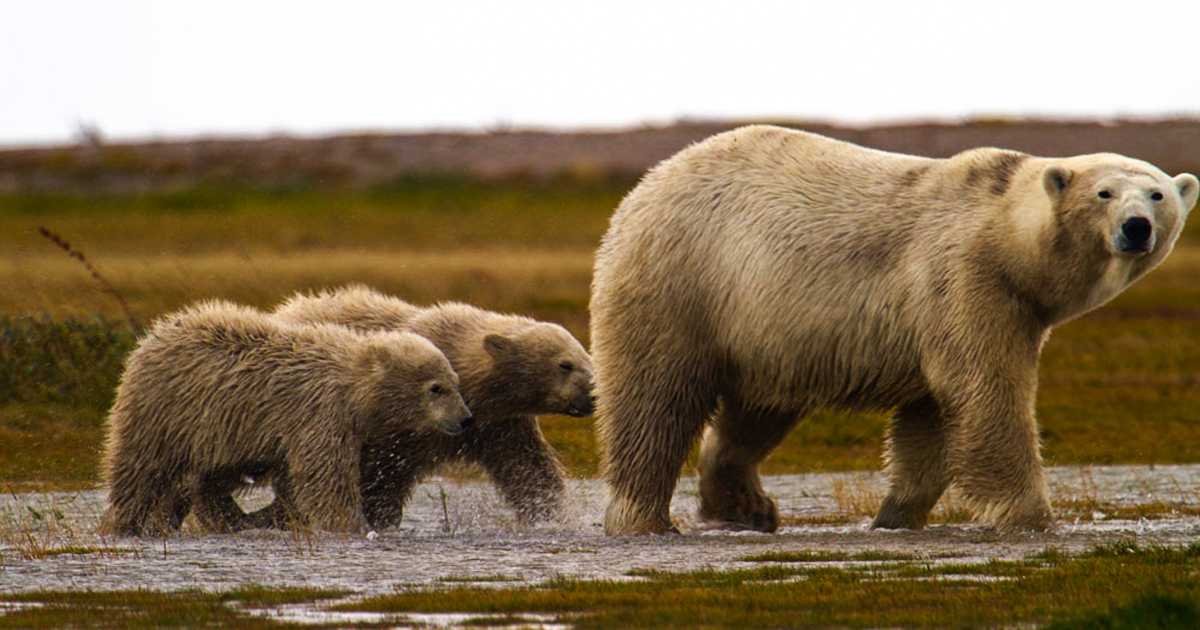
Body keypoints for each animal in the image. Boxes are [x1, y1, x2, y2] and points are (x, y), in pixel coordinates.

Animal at [592, 124, 1200, 535]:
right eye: (1104, 193)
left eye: (1157, 194)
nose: (1136, 228)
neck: (1006, 234)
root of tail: (643, 187)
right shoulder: (966, 279)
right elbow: (987, 395)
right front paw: (1029, 516)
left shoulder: (978, 312)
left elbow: (930, 420)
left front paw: (895, 515)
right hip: (683, 282)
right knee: (655, 402)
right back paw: (644, 518)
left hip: (763, 327)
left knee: (757, 411)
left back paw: (746, 507)